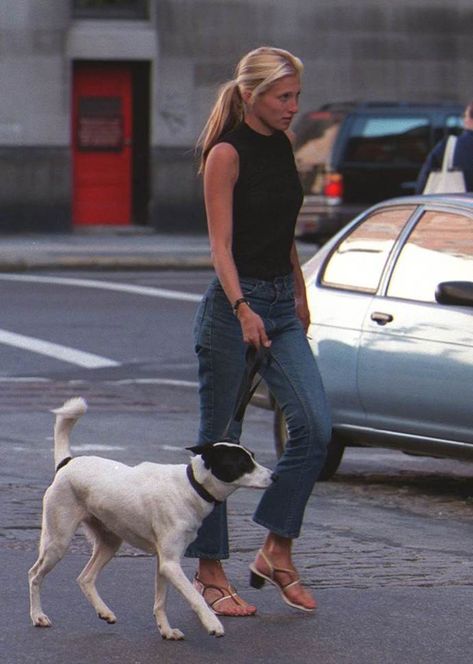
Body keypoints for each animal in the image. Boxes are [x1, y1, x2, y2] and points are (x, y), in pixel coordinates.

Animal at [28, 396, 272, 640]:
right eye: (243, 463)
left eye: (253, 457)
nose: (274, 476)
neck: (192, 485)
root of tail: (67, 463)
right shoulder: (171, 564)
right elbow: (195, 596)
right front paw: (212, 623)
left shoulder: (165, 563)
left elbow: (160, 601)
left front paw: (166, 630)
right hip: (58, 541)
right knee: (34, 575)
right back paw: (38, 616)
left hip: (110, 541)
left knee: (85, 578)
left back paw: (103, 611)